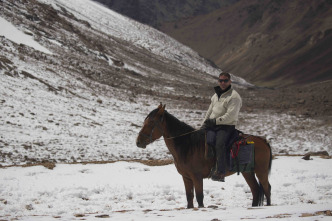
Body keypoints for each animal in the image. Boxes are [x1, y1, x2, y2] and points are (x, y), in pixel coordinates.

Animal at [136, 103, 272, 209]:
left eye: (151, 122)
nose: (138, 142)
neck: (188, 145)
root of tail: (263, 141)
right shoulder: (186, 178)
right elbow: (189, 197)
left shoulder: (197, 177)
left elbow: (199, 198)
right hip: (247, 172)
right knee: (255, 190)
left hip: (261, 171)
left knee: (266, 188)